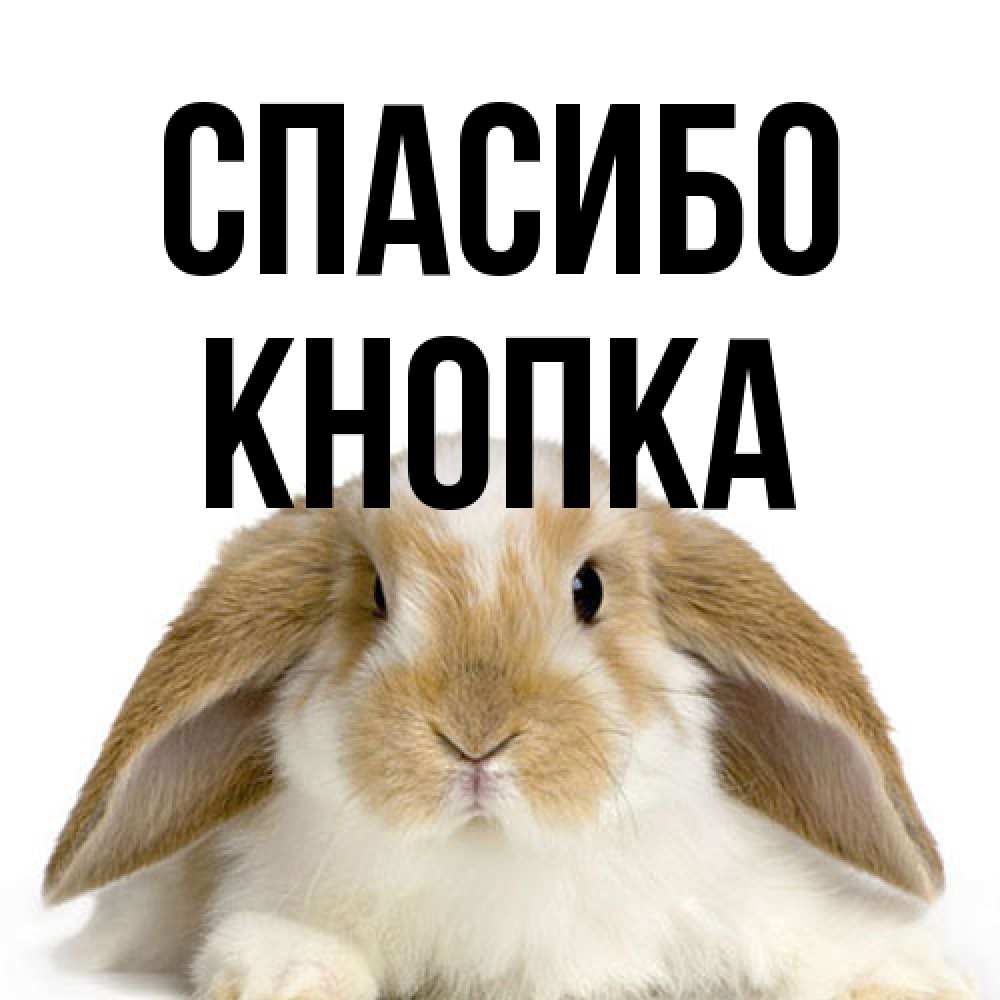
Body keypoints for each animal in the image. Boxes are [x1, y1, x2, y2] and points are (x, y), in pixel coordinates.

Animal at [45, 437, 975, 1000]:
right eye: (375, 596)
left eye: (589, 589)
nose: (475, 737)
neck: (494, 857)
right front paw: (290, 977)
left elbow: (819, 940)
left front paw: (909, 978)